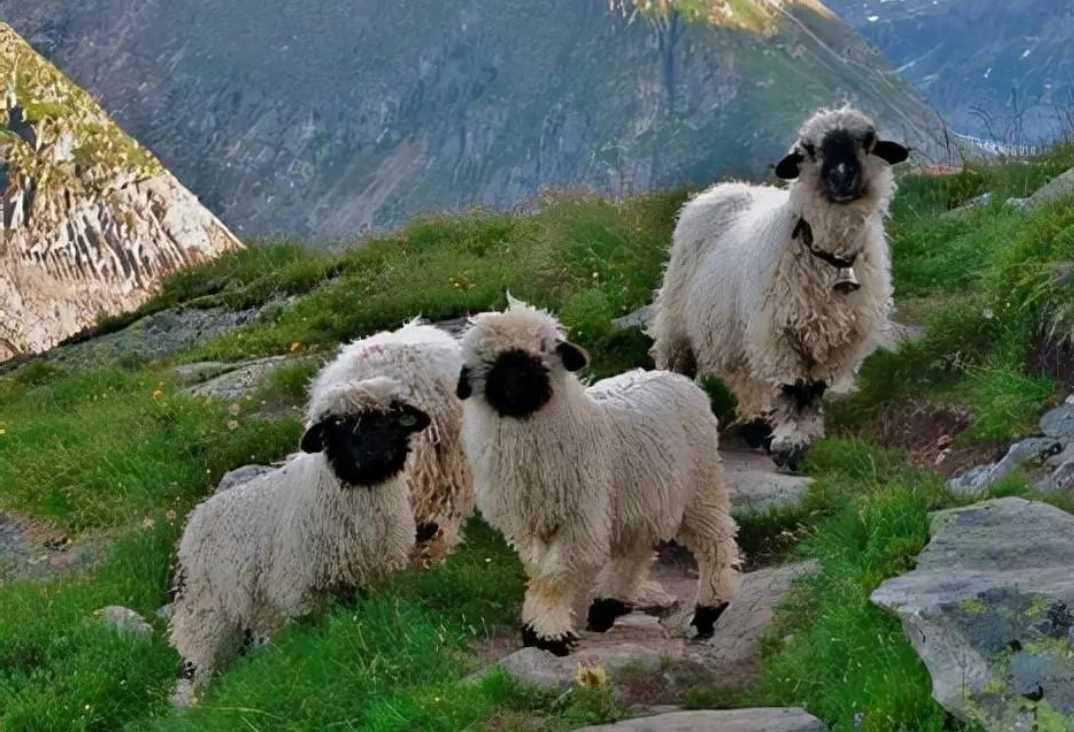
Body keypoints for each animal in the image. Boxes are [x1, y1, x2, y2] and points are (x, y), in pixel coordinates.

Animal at [169, 376, 430, 699]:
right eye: (338, 427)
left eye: (390, 419)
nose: (373, 457)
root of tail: (193, 521)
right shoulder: (299, 589)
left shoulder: (375, 575)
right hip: (206, 614)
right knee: (199, 666)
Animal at [456, 298, 740, 656]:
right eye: (490, 362)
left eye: (543, 351)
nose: (520, 384)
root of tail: (675, 377)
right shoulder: (529, 527)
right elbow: (537, 572)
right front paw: (536, 631)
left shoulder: (580, 522)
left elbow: (554, 577)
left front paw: (549, 636)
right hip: (638, 496)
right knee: (636, 550)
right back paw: (608, 607)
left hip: (699, 486)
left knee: (715, 541)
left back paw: (708, 610)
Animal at [649, 106, 908, 468]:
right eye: (810, 150)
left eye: (868, 141)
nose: (842, 178)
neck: (830, 259)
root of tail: (726, 188)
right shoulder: (779, 333)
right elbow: (793, 388)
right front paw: (790, 445)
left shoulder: (838, 342)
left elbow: (813, 391)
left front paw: (804, 440)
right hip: (679, 318)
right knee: (681, 365)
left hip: (740, 331)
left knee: (746, 377)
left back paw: (756, 426)